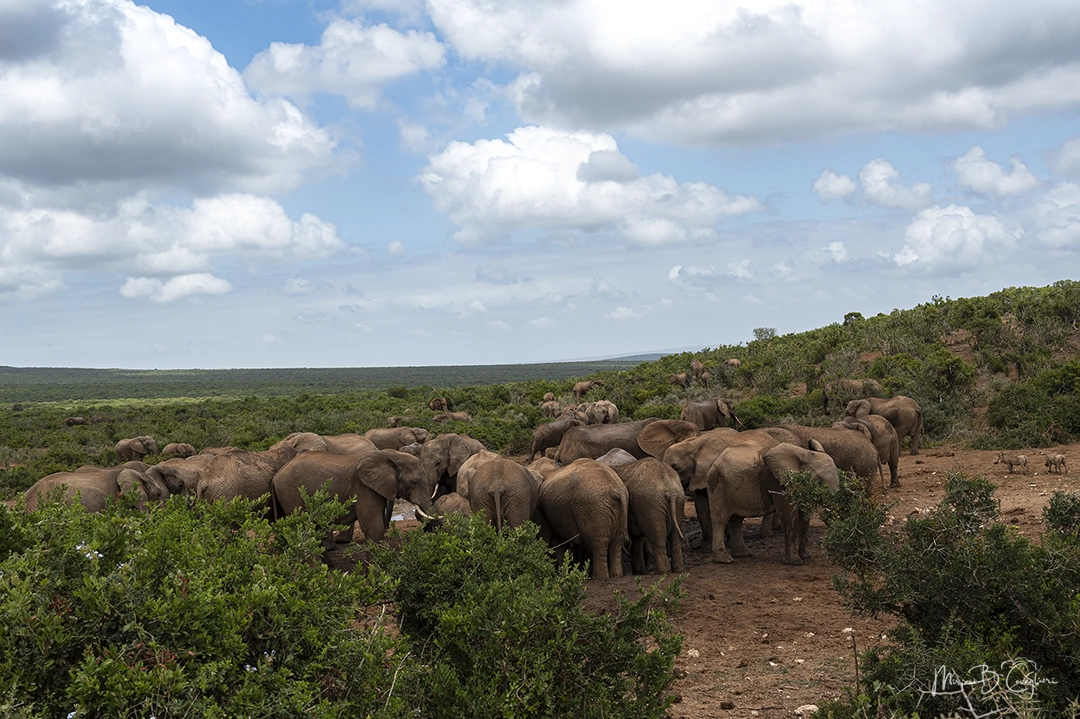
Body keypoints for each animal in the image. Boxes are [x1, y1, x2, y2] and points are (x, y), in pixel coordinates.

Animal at [271, 449, 434, 543]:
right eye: (414, 482)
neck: (391, 455)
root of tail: (275, 477)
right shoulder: (364, 488)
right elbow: (374, 528)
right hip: (292, 494)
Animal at [707, 442, 839, 565]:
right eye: (818, 482)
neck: (805, 453)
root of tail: (716, 461)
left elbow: (803, 516)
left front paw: (805, 556)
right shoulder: (780, 483)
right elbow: (789, 514)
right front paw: (795, 562)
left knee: (736, 520)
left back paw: (744, 554)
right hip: (717, 486)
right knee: (720, 520)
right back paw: (725, 560)